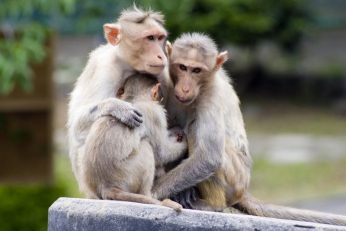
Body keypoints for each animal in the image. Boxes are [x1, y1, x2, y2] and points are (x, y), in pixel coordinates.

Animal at [67, 5, 168, 193]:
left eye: (160, 38)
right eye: (150, 38)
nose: (161, 55)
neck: (127, 64)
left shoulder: (162, 72)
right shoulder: (105, 69)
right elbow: (76, 127)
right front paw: (116, 107)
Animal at [79, 74, 187, 211]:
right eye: (160, 96)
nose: (160, 99)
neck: (133, 98)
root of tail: (106, 185)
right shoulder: (155, 113)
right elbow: (162, 153)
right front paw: (185, 143)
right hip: (127, 174)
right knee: (146, 145)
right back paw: (147, 195)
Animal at [153, 32, 346, 226]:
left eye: (197, 71)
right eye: (183, 67)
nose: (185, 88)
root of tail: (243, 191)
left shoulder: (212, 95)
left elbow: (209, 157)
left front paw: (154, 191)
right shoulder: (165, 81)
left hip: (236, 180)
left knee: (197, 131)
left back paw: (214, 204)